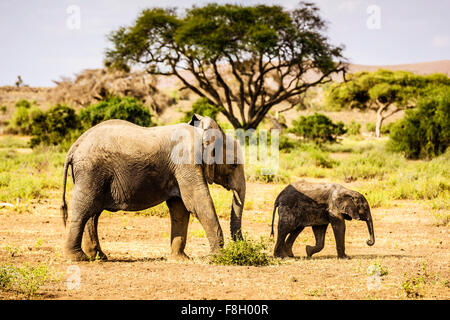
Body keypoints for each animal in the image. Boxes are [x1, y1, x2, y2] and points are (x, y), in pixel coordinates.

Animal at [60, 114, 246, 260]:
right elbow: (197, 201)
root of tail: (74, 146)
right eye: (234, 165)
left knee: (93, 213)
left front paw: (180, 259)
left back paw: (99, 256)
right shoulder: (186, 161)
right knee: (84, 209)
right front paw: (219, 257)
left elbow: (179, 208)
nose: (243, 246)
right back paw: (78, 258)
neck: (202, 132)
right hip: (91, 170)